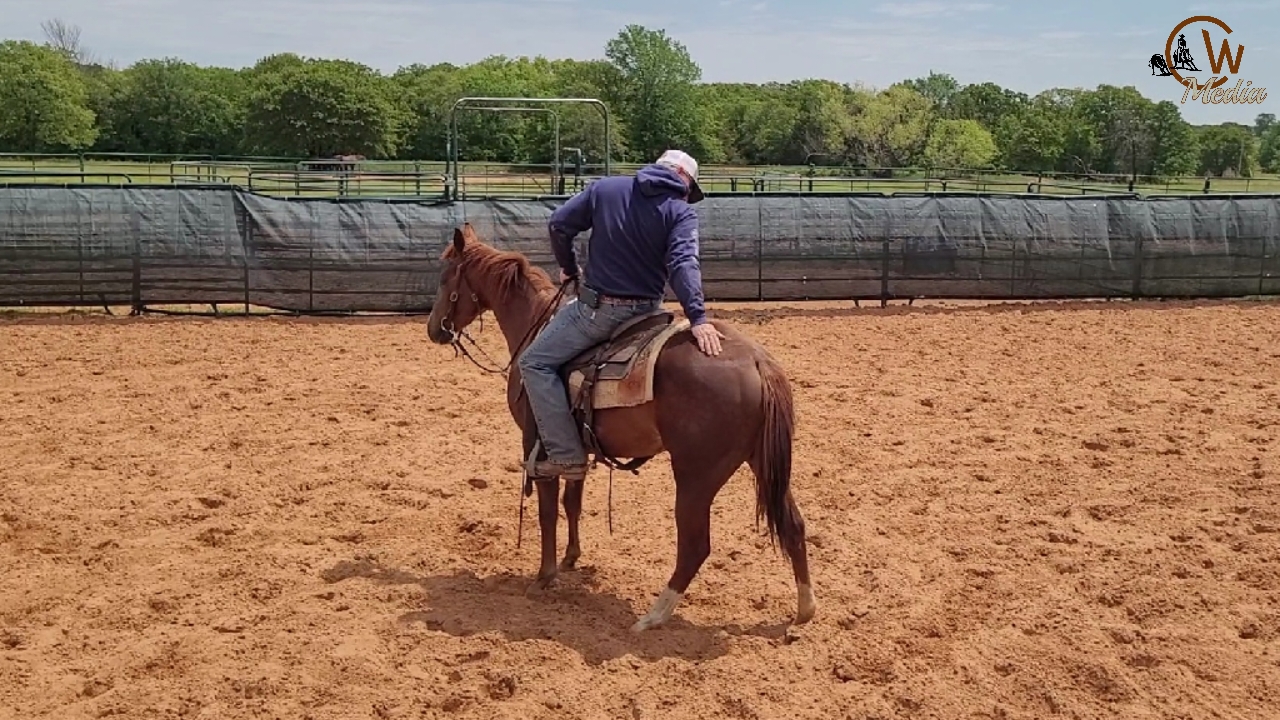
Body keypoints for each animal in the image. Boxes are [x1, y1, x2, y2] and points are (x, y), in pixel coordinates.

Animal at [424, 222, 816, 632]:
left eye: (444, 277)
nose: (434, 329)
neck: (534, 325)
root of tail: (758, 361)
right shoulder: (573, 445)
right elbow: (572, 502)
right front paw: (571, 558)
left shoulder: (539, 444)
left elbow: (548, 510)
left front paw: (544, 577)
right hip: (762, 463)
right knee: (794, 526)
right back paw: (804, 610)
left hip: (696, 476)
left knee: (695, 546)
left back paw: (653, 617)